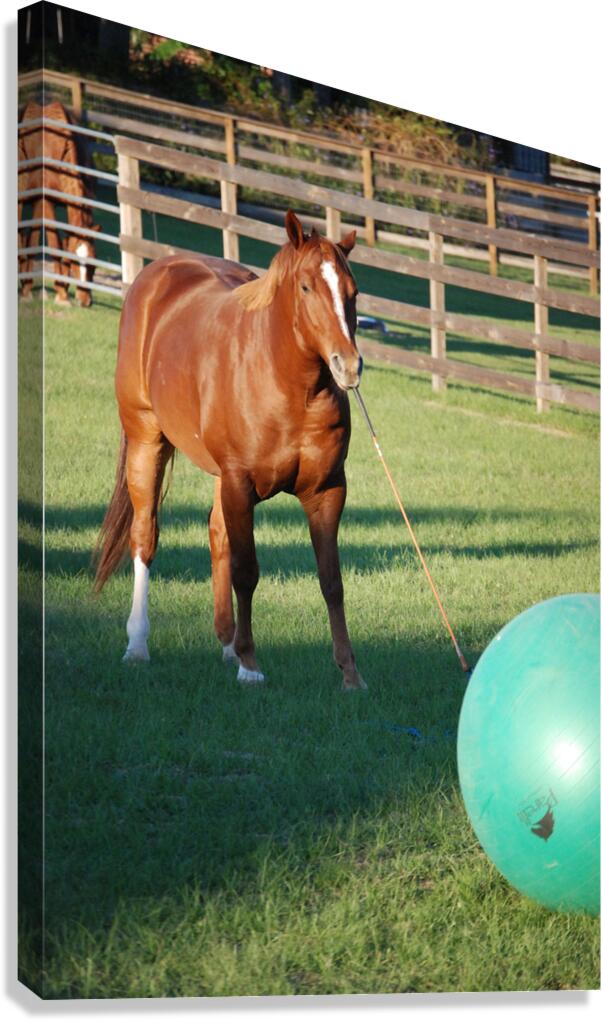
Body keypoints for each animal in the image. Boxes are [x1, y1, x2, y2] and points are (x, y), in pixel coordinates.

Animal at [18, 100, 100, 307]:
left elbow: (64, 243)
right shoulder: (46, 202)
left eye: (94, 263)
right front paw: (61, 295)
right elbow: (54, 244)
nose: (85, 301)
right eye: (75, 263)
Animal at [94, 209, 367, 691]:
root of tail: (158, 273)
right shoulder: (241, 484)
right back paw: (138, 644)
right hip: (147, 441)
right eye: (306, 287)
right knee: (145, 538)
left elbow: (331, 580)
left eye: (352, 293)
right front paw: (250, 665)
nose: (348, 366)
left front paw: (350, 673)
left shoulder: (327, 492)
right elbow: (246, 571)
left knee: (216, 534)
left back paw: (226, 643)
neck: (288, 386)